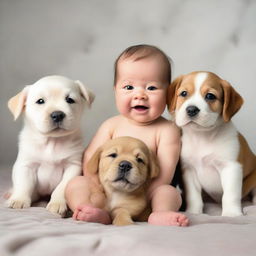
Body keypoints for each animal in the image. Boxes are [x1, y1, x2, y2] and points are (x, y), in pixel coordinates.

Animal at [7, 75, 94, 216]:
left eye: (70, 100)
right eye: (40, 101)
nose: (57, 114)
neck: (52, 142)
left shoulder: (73, 166)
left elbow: (62, 187)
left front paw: (57, 203)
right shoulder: (26, 165)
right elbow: (24, 184)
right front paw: (19, 199)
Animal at [167, 71, 256, 216]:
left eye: (210, 96)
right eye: (184, 93)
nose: (191, 109)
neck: (202, 137)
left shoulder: (230, 167)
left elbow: (230, 195)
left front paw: (231, 214)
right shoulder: (189, 170)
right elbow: (194, 196)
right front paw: (194, 212)